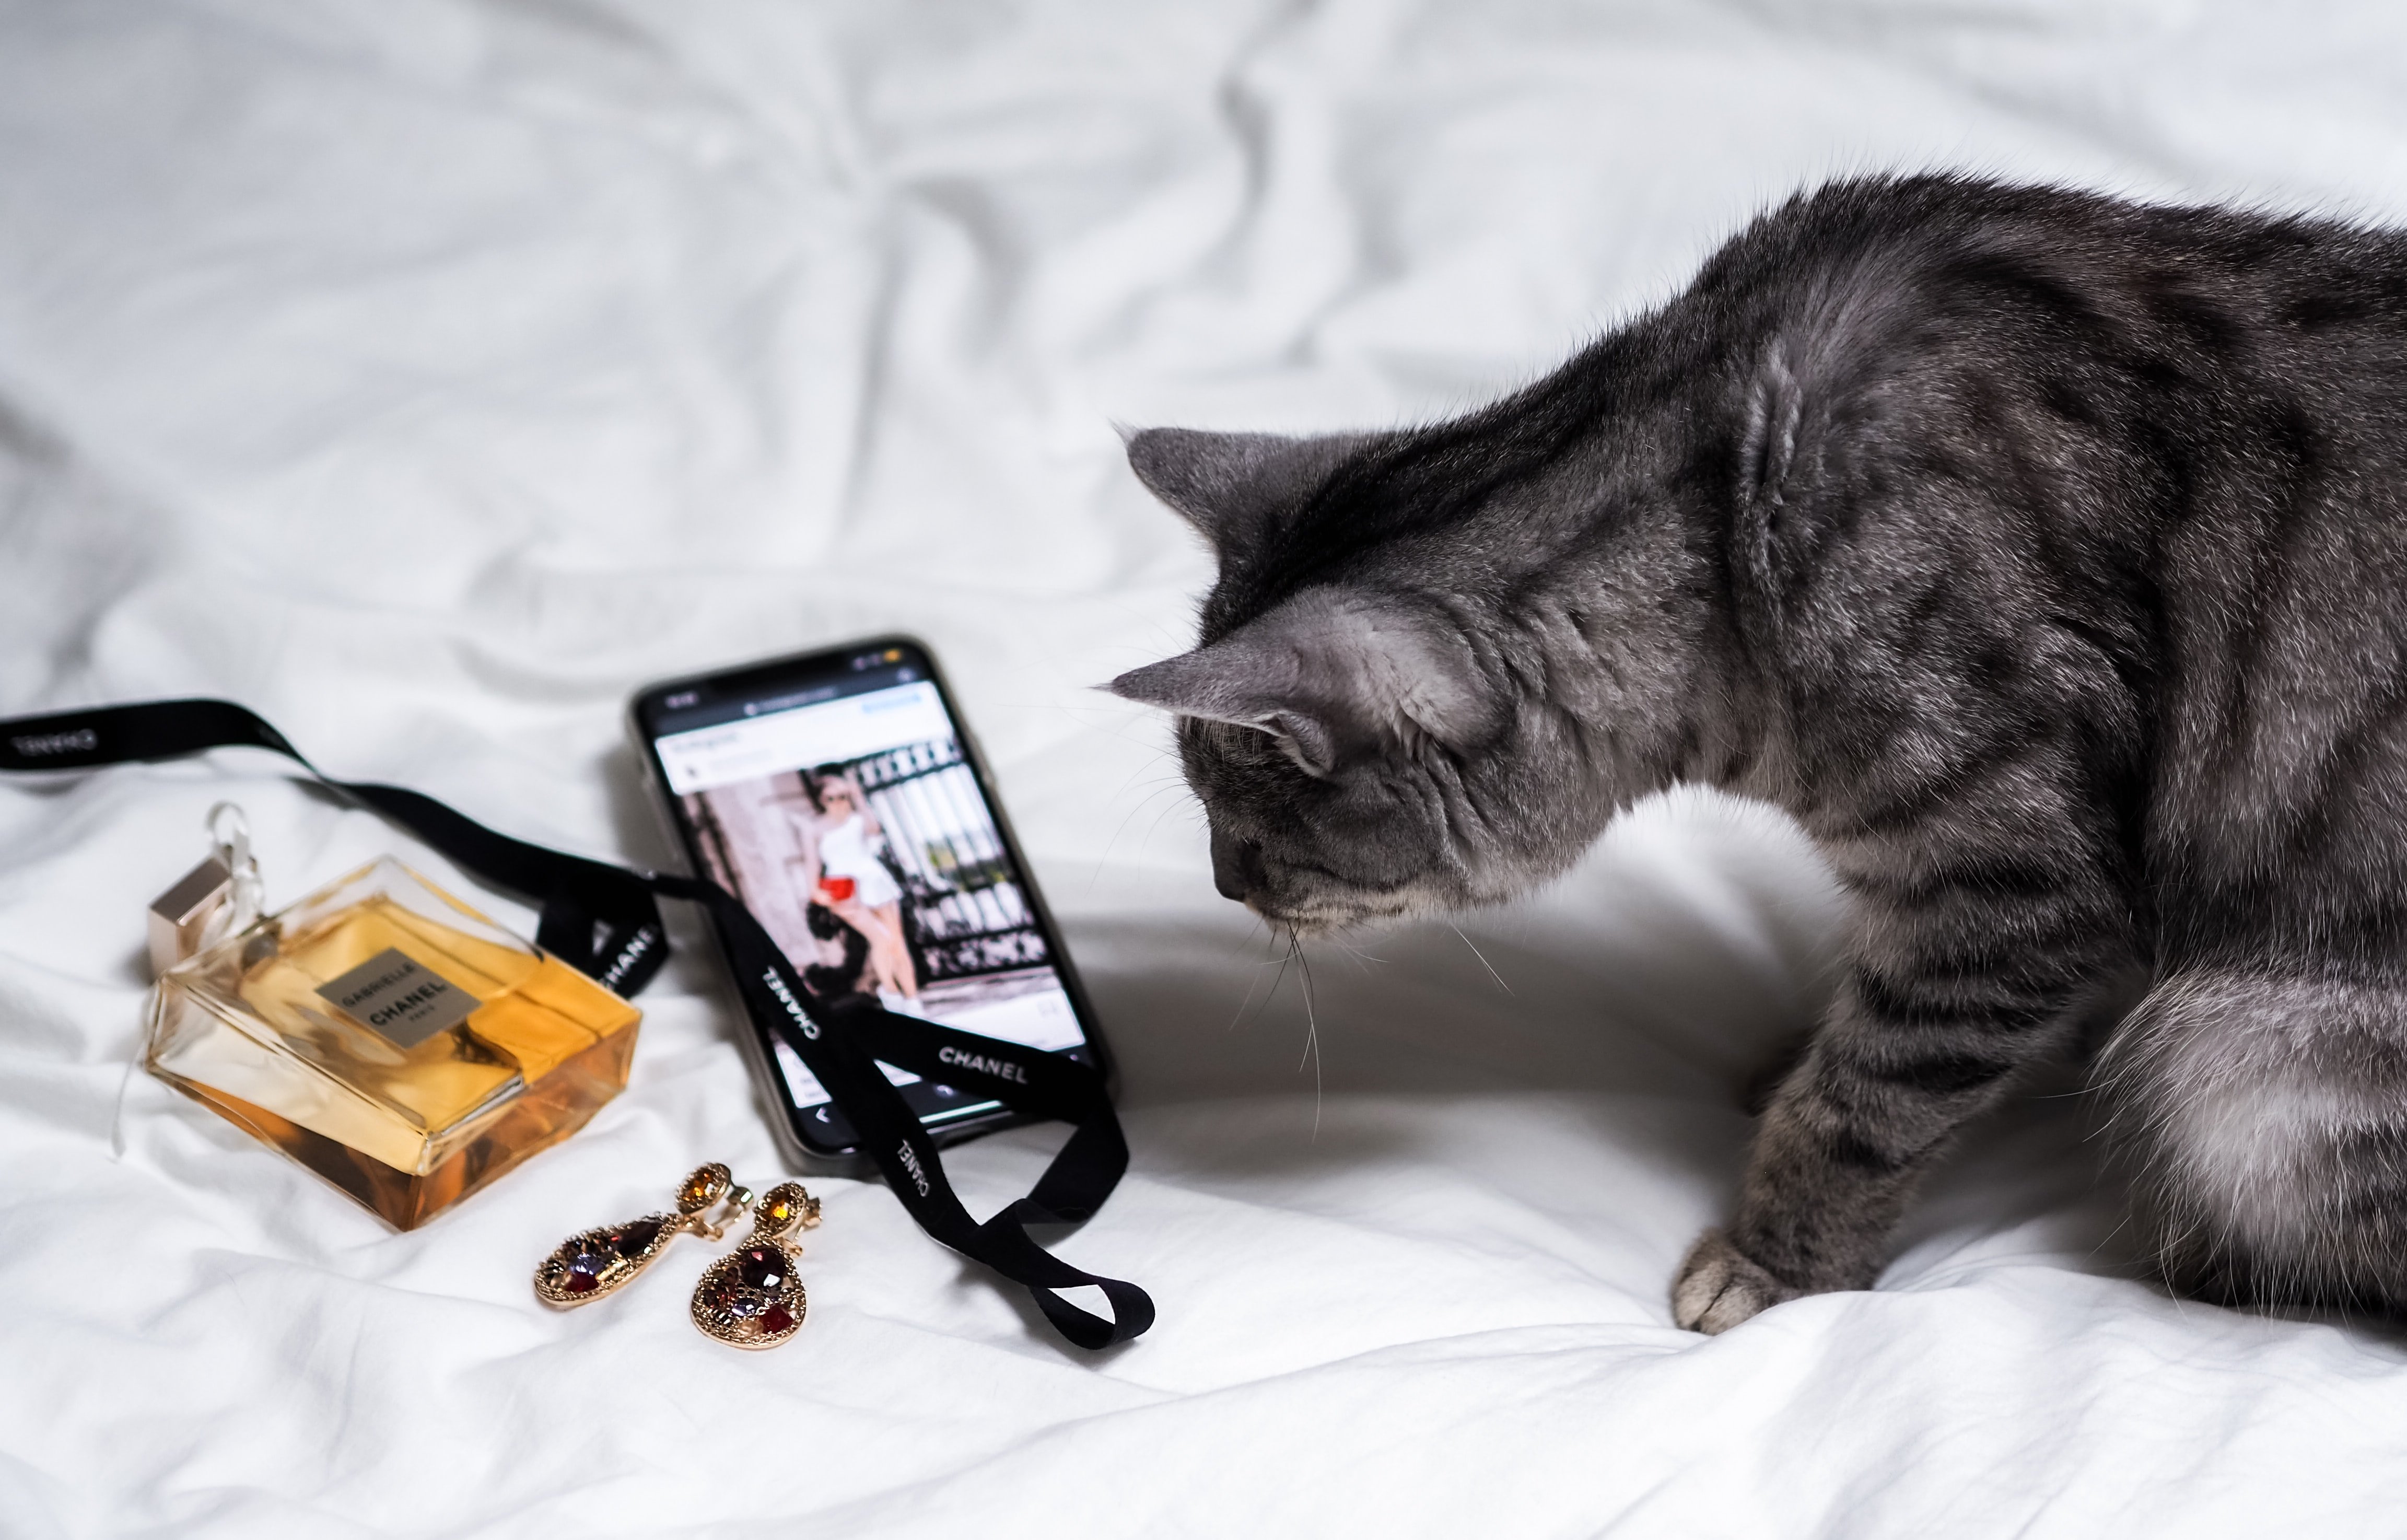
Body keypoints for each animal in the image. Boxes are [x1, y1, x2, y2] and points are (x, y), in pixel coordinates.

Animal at [1112, 178, 2407, 1338]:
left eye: (1253, 835)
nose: (1223, 884)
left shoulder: (2010, 883)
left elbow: (1861, 1104)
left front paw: (1776, 1260)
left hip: (2236, 1072)